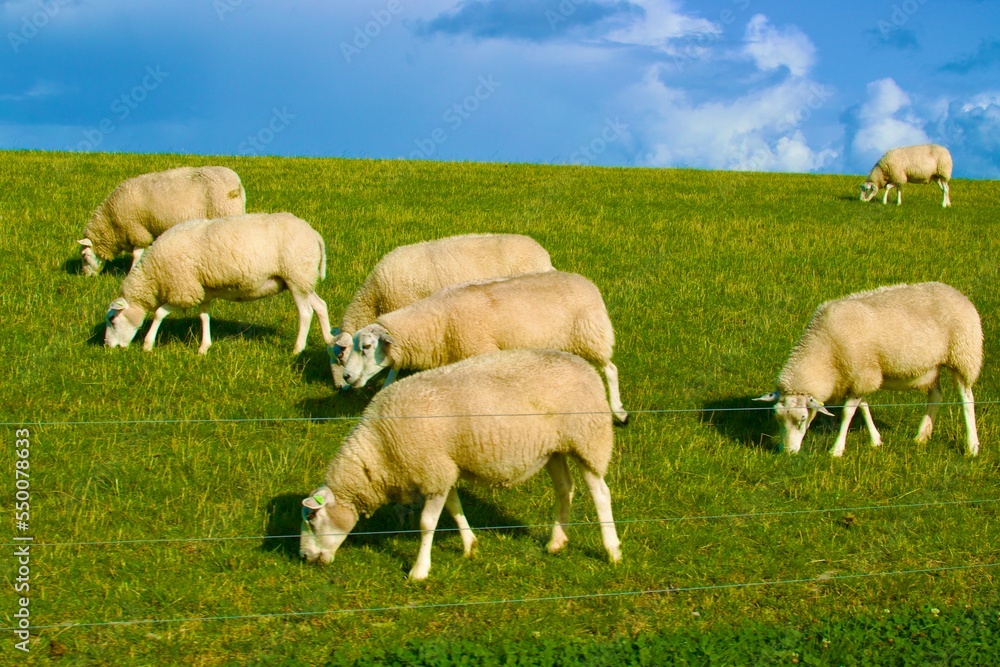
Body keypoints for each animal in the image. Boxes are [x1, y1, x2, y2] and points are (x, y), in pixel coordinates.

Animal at [78, 166, 246, 276]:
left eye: (84, 256)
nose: (86, 276)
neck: (111, 222)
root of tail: (235, 182)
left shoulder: (137, 230)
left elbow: (136, 255)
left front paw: (132, 272)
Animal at [104, 212, 334, 355]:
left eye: (113, 320)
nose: (107, 346)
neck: (154, 275)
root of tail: (314, 234)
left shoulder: (183, 289)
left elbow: (160, 313)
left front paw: (147, 344)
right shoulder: (202, 291)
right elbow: (204, 316)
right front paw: (204, 347)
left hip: (296, 276)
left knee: (306, 313)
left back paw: (297, 348)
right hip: (303, 279)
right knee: (320, 305)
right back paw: (329, 340)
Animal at [300, 348, 622, 580]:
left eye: (312, 519)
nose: (304, 558)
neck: (380, 448)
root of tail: (586, 366)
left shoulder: (432, 471)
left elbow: (427, 523)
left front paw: (419, 570)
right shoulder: (444, 469)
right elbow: (454, 509)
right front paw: (470, 545)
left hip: (588, 439)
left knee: (601, 494)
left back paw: (612, 550)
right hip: (554, 449)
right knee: (565, 489)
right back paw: (556, 542)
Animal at [336, 270, 628, 423]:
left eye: (366, 346)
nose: (347, 377)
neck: (438, 321)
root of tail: (587, 282)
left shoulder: (480, 351)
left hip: (591, 335)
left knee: (611, 369)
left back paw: (619, 411)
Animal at [755, 282, 982, 457]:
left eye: (802, 419)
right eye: (777, 417)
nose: (787, 452)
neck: (825, 350)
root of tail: (957, 293)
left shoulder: (861, 373)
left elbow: (848, 412)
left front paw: (837, 450)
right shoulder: (859, 376)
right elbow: (863, 406)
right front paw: (876, 440)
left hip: (963, 355)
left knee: (967, 399)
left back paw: (971, 446)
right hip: (931, 366)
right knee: (935, 395)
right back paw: (921, 436)